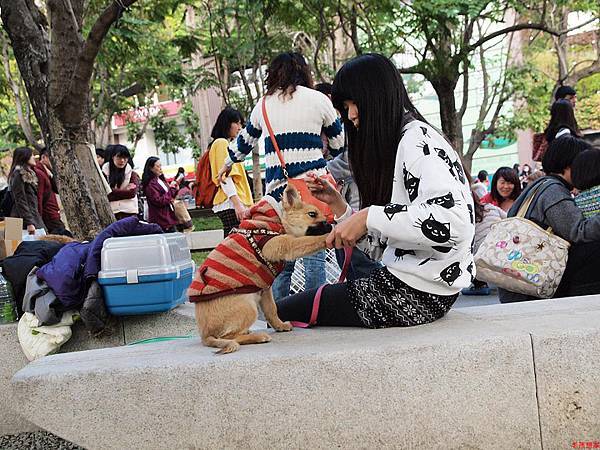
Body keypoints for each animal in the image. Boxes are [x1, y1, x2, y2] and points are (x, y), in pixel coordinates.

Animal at [189, 185, 332, 354]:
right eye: (312, 214)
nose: (330, 224)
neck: (278, 221)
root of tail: (205, 336)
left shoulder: (265, 289)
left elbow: (271, 310)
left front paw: (279, 326)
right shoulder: (286, 244)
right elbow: (311, 241)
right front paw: (329, 237)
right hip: (248, 308)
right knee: (230, 337)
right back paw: (257, 336)